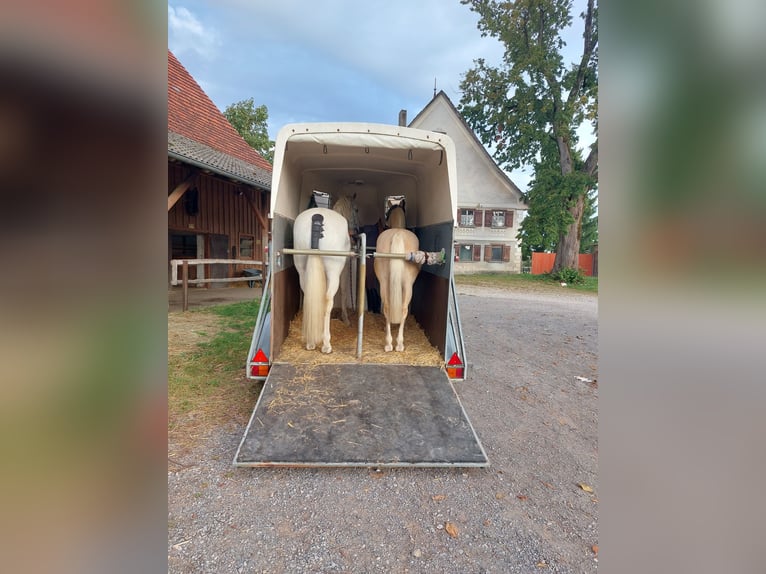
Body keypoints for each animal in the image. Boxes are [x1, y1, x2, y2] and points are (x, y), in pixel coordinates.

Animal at [293, 194, 359, 353]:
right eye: (356, 209)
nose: (356, 231)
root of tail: (317, 218)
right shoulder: (343, 270)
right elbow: (344, 291)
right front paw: (346, 319)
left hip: (302, 270)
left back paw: (310, 342)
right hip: (333, 273)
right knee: (328, 299)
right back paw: (326, 344)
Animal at [373, 223, 421, 352]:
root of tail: (398, 233)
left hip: (385, 283)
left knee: (388, 308)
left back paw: (390, 344)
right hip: (408, 286)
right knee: (403, 309)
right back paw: (398, 344)